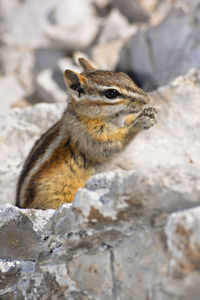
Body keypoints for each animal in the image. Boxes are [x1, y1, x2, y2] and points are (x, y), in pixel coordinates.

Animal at [15, 57, 158, 210]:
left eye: (125, 76)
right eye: (112, 93)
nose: (147, 99)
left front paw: (151, 114)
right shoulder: (92, 137)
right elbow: (115, 145)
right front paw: (140, 122)